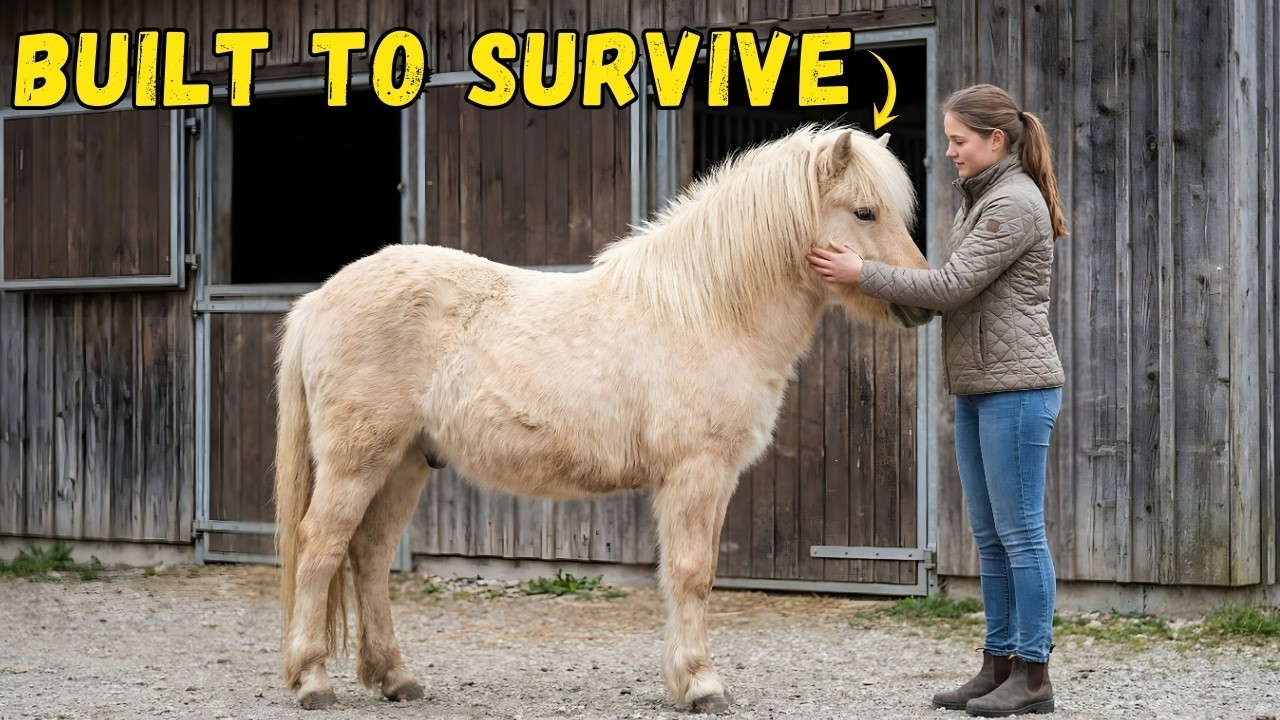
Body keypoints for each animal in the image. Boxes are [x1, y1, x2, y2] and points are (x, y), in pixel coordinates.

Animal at [272, 122, 935, 713]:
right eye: (865, 212)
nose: (920, 301)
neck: (708, 310)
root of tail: (321, 297)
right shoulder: (695, 473)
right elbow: (691, 573)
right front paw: (701, 685)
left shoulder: (714, 478)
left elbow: (697, 573)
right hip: (357, 460)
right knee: (321, 547)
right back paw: (313, 682)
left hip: (405, 462)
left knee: (370, 554)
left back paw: (396, 679)